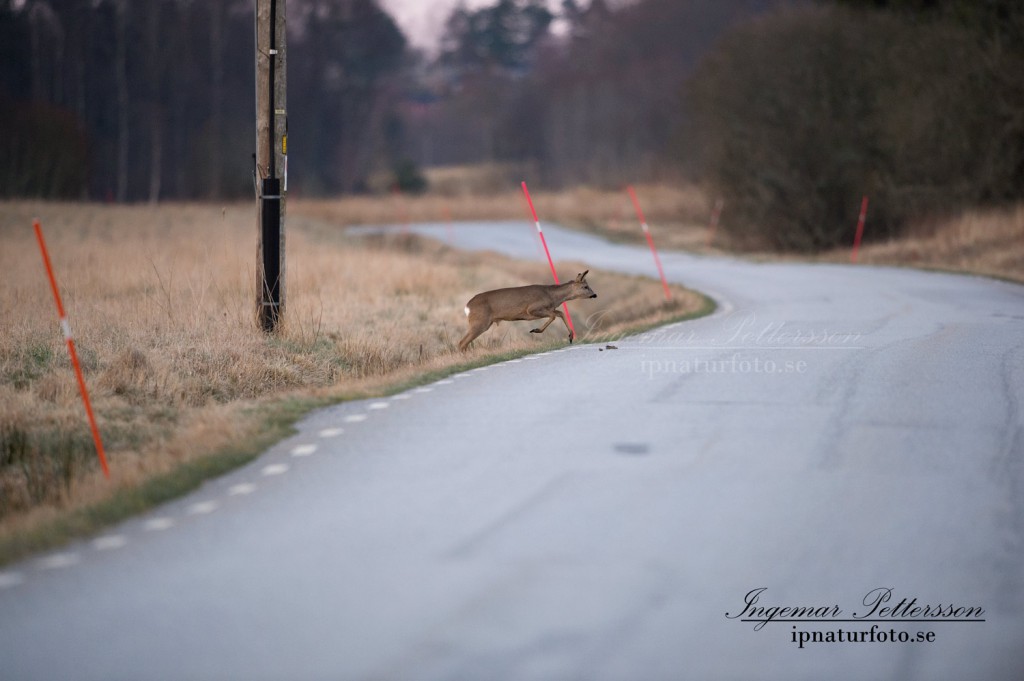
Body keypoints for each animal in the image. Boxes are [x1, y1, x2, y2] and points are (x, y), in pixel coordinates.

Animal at [458, 270, 598, 350]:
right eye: (585, 286)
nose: (594, 295)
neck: (551, 296)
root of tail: (467, 306)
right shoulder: (532, 309)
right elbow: (554, 315)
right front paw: (535, 330)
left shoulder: (548, 309)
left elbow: (560, 313)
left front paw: (570, 336)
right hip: (480, 322)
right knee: (462, 342)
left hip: (482, 322)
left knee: (463, 342)